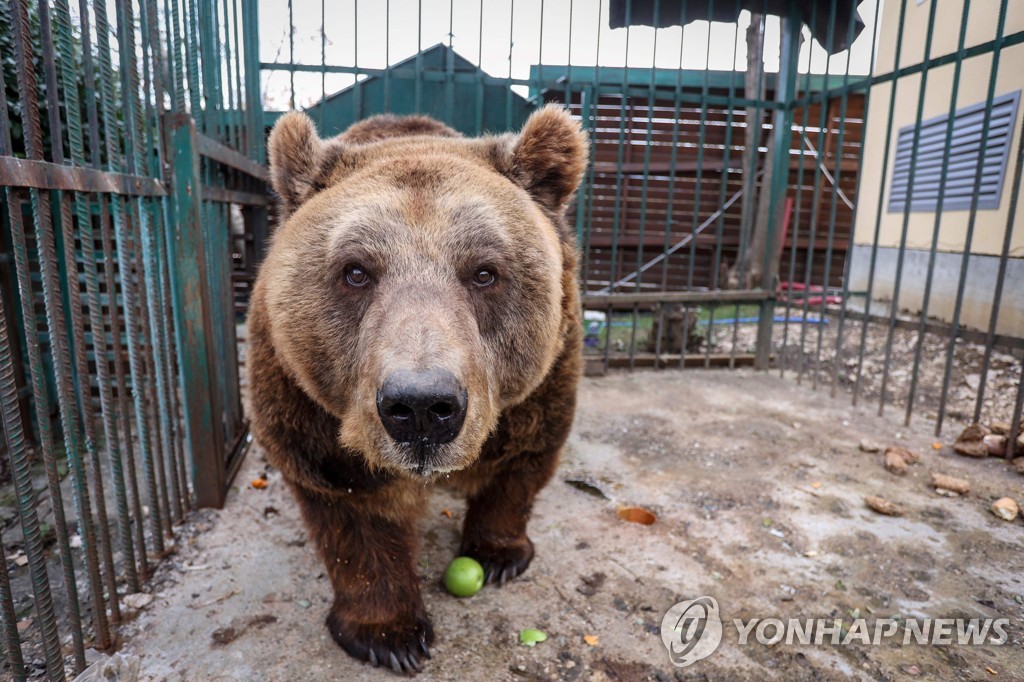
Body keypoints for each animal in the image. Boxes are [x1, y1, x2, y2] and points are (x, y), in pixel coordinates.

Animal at [244, 103, 589, 671]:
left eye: (485, 271)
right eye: (355, 271)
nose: (423, 406)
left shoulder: (543, 379)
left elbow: (524, 457)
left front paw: (499, 554)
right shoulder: (307, 407)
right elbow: (349, 506)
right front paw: (389, 633)